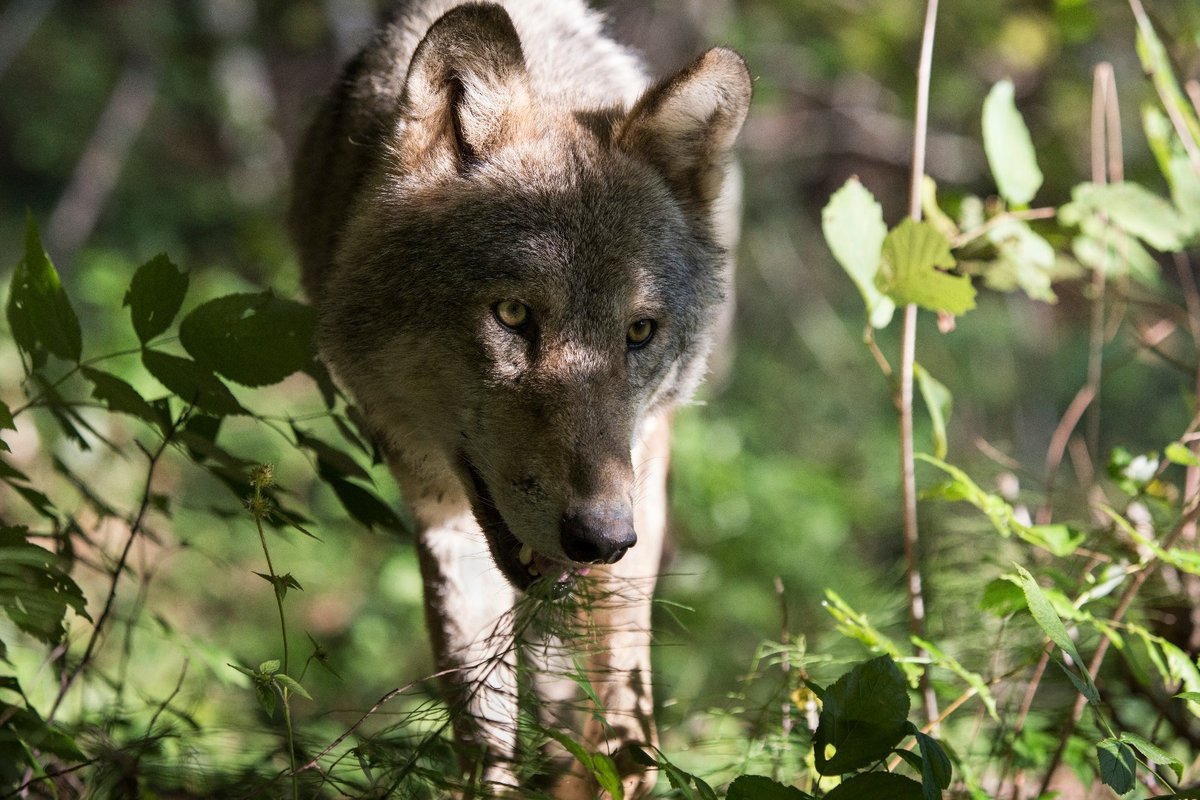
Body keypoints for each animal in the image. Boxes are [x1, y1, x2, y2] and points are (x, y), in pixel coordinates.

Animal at [289, 1, 750, 795]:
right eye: (511, 315)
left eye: (639, 331)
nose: (601, 537)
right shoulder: (440, 515)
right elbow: (481, 729)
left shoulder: (642, 487)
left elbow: (623, 716)